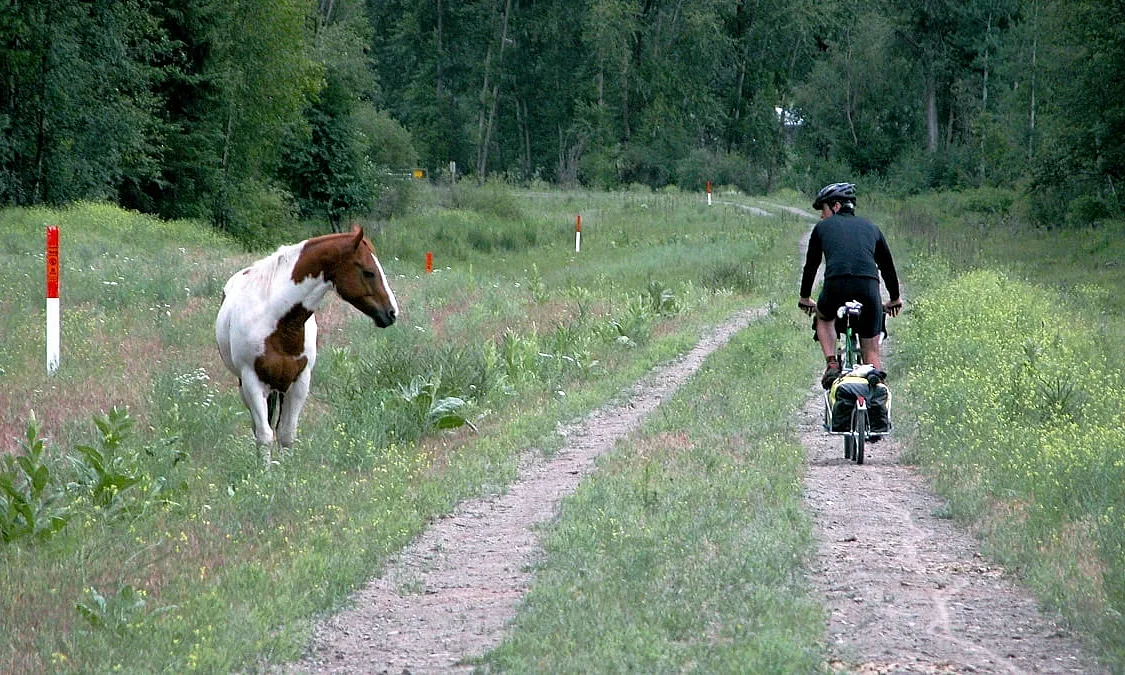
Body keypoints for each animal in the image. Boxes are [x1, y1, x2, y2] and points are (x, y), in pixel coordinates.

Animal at [215, 225, 398, 460]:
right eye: (368, 271)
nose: (392, 313)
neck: (275, 320)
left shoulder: (299, 382)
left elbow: (286, 434)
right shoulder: (251, 380)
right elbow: (264, 435)